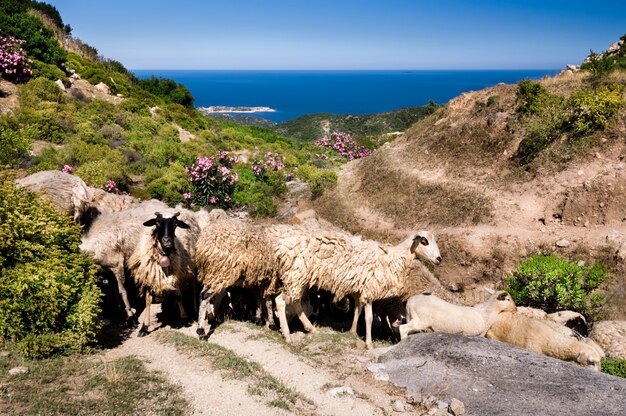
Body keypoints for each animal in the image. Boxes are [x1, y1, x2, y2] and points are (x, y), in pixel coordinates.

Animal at [266, 224, 442, 348]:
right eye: (424, 241)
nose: (439, 259)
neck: (392, 258)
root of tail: (280, 245)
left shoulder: (359, 290)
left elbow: (357, 311)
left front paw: (352, 331)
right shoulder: (370, 290)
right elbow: (369, 318)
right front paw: (369, 344)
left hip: (300, 278)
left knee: (296, 302)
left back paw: (311, 328)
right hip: (296, 275)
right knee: (281, 301)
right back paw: (288, 336)